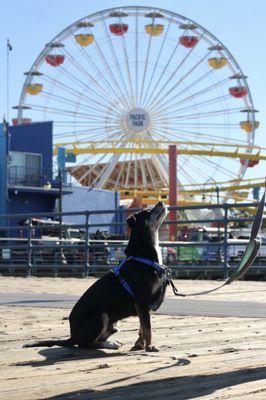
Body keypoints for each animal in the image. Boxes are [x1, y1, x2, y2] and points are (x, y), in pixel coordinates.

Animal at [25, 202, 168, 352]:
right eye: (147, 211)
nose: (161, 202)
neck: (143, 256)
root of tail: (72, 336)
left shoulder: (144, 306)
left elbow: (142, 327)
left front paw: (140, 345)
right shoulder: (140, 300)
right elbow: (147, 328)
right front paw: (150, 346)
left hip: (112, 325)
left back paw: (110, 343)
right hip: (100, 316)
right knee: (85, 344)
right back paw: (109, 344)